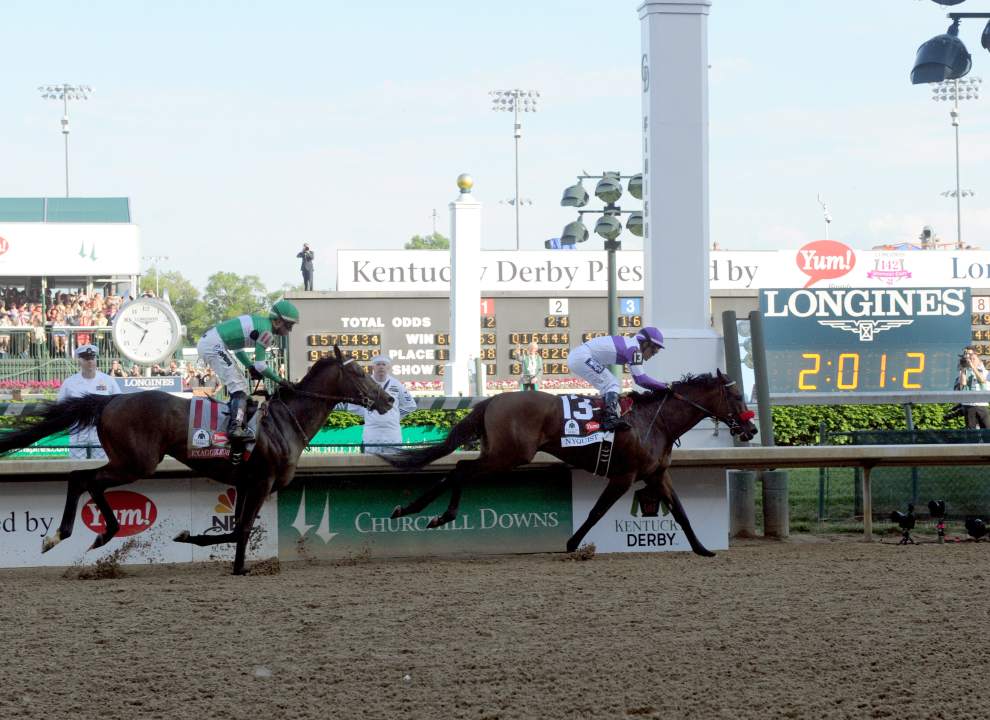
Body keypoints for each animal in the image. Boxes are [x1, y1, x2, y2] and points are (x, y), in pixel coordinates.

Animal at [0, 348, 392, 572]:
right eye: (359, 373)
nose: (387, 400)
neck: (284, 422)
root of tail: (110, 399)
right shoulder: (262, 482)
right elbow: (241, 530)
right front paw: (232, 564)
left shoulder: (245, 483)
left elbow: (235, 530)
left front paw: (199, 542)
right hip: (136, 463)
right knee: (83, 478)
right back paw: (81, 534)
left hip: (128, 462)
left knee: (82, 478)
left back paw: (78, 535)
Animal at [388, 372, 760, 556]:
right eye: (736, 396)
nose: (752, 429)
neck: (656, 422)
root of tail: (493, 399)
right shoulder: (625, 476)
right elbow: (596, 512)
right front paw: (572, 544)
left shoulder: (656, 474)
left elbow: (681, 512)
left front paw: (702, 549)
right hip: (508, 456)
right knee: (462, 470)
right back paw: (428, 513)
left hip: (497, 454)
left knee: (460, 468)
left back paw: (422, 511)